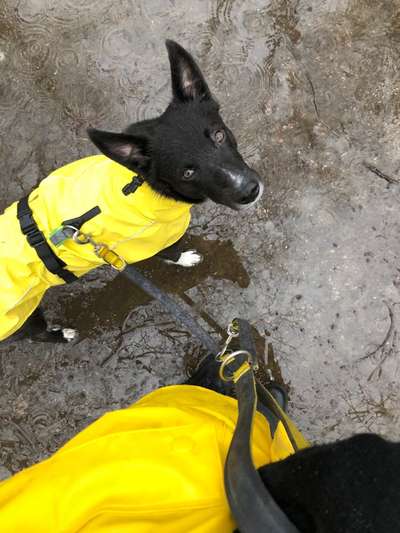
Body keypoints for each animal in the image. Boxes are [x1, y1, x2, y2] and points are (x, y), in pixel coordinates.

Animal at [2, 40, 262, 340]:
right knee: (39, 334)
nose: (250, 191)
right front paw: (186, 258)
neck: (142, 186)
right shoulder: (143, 245)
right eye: (187, 173)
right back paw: (63, 334)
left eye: (219, 135)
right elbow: (170, 252)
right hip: (23, 318)